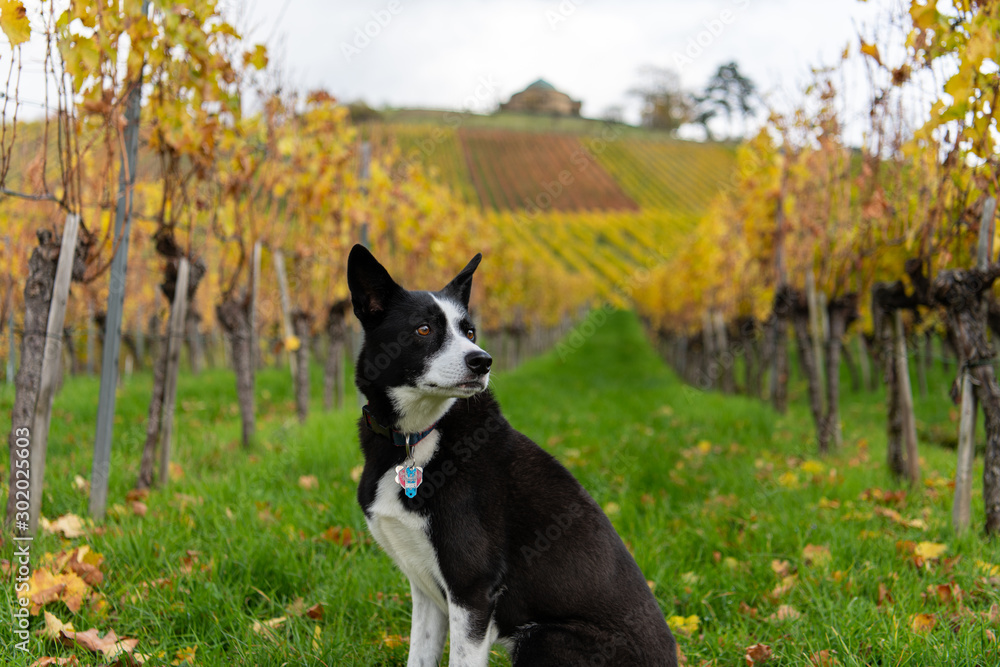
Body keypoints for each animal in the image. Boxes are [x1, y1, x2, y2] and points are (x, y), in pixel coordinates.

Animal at [348, 247, 676, 667]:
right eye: (423, 329)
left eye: (470, 332)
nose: (482, 361)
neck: (415, 437)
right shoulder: (426, 590)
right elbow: (419, 657)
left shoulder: (472, 589)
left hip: (543, 638)